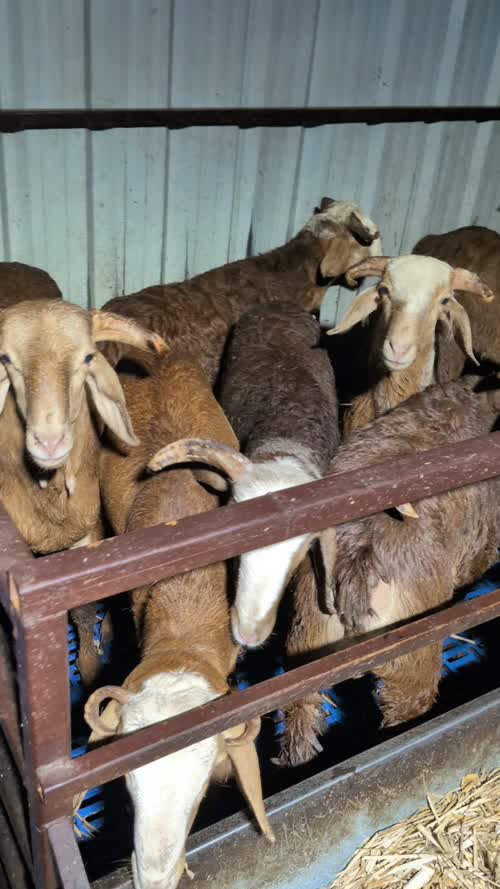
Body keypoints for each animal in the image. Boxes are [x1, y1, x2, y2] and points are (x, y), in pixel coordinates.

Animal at [0, 297, 166, 683]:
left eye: (88, 357)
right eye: (5, 359)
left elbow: (84, 610)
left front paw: (90, 668)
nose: (49, 442)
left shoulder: (86, 538)